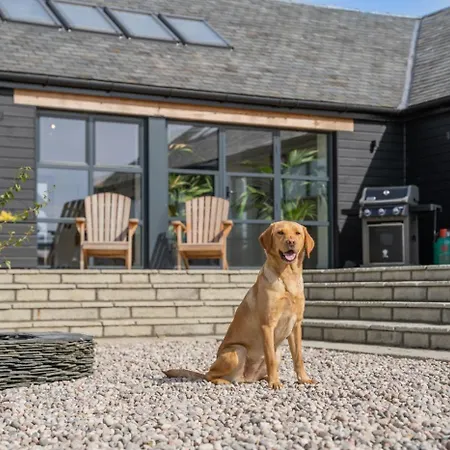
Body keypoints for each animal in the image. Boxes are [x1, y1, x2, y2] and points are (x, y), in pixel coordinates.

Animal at [163, 221, 316, 389]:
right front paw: (275, 383)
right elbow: (269, 358)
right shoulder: (267, 325)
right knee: (209, 375)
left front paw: (303, 379)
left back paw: (264, 378)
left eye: (297, 233)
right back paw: (225, 381)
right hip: (237, 351)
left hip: (278, 352)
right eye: (280, 233)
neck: (287, 276)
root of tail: (246, 378)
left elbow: (298, 357)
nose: (291, 242)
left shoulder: (296, 325)